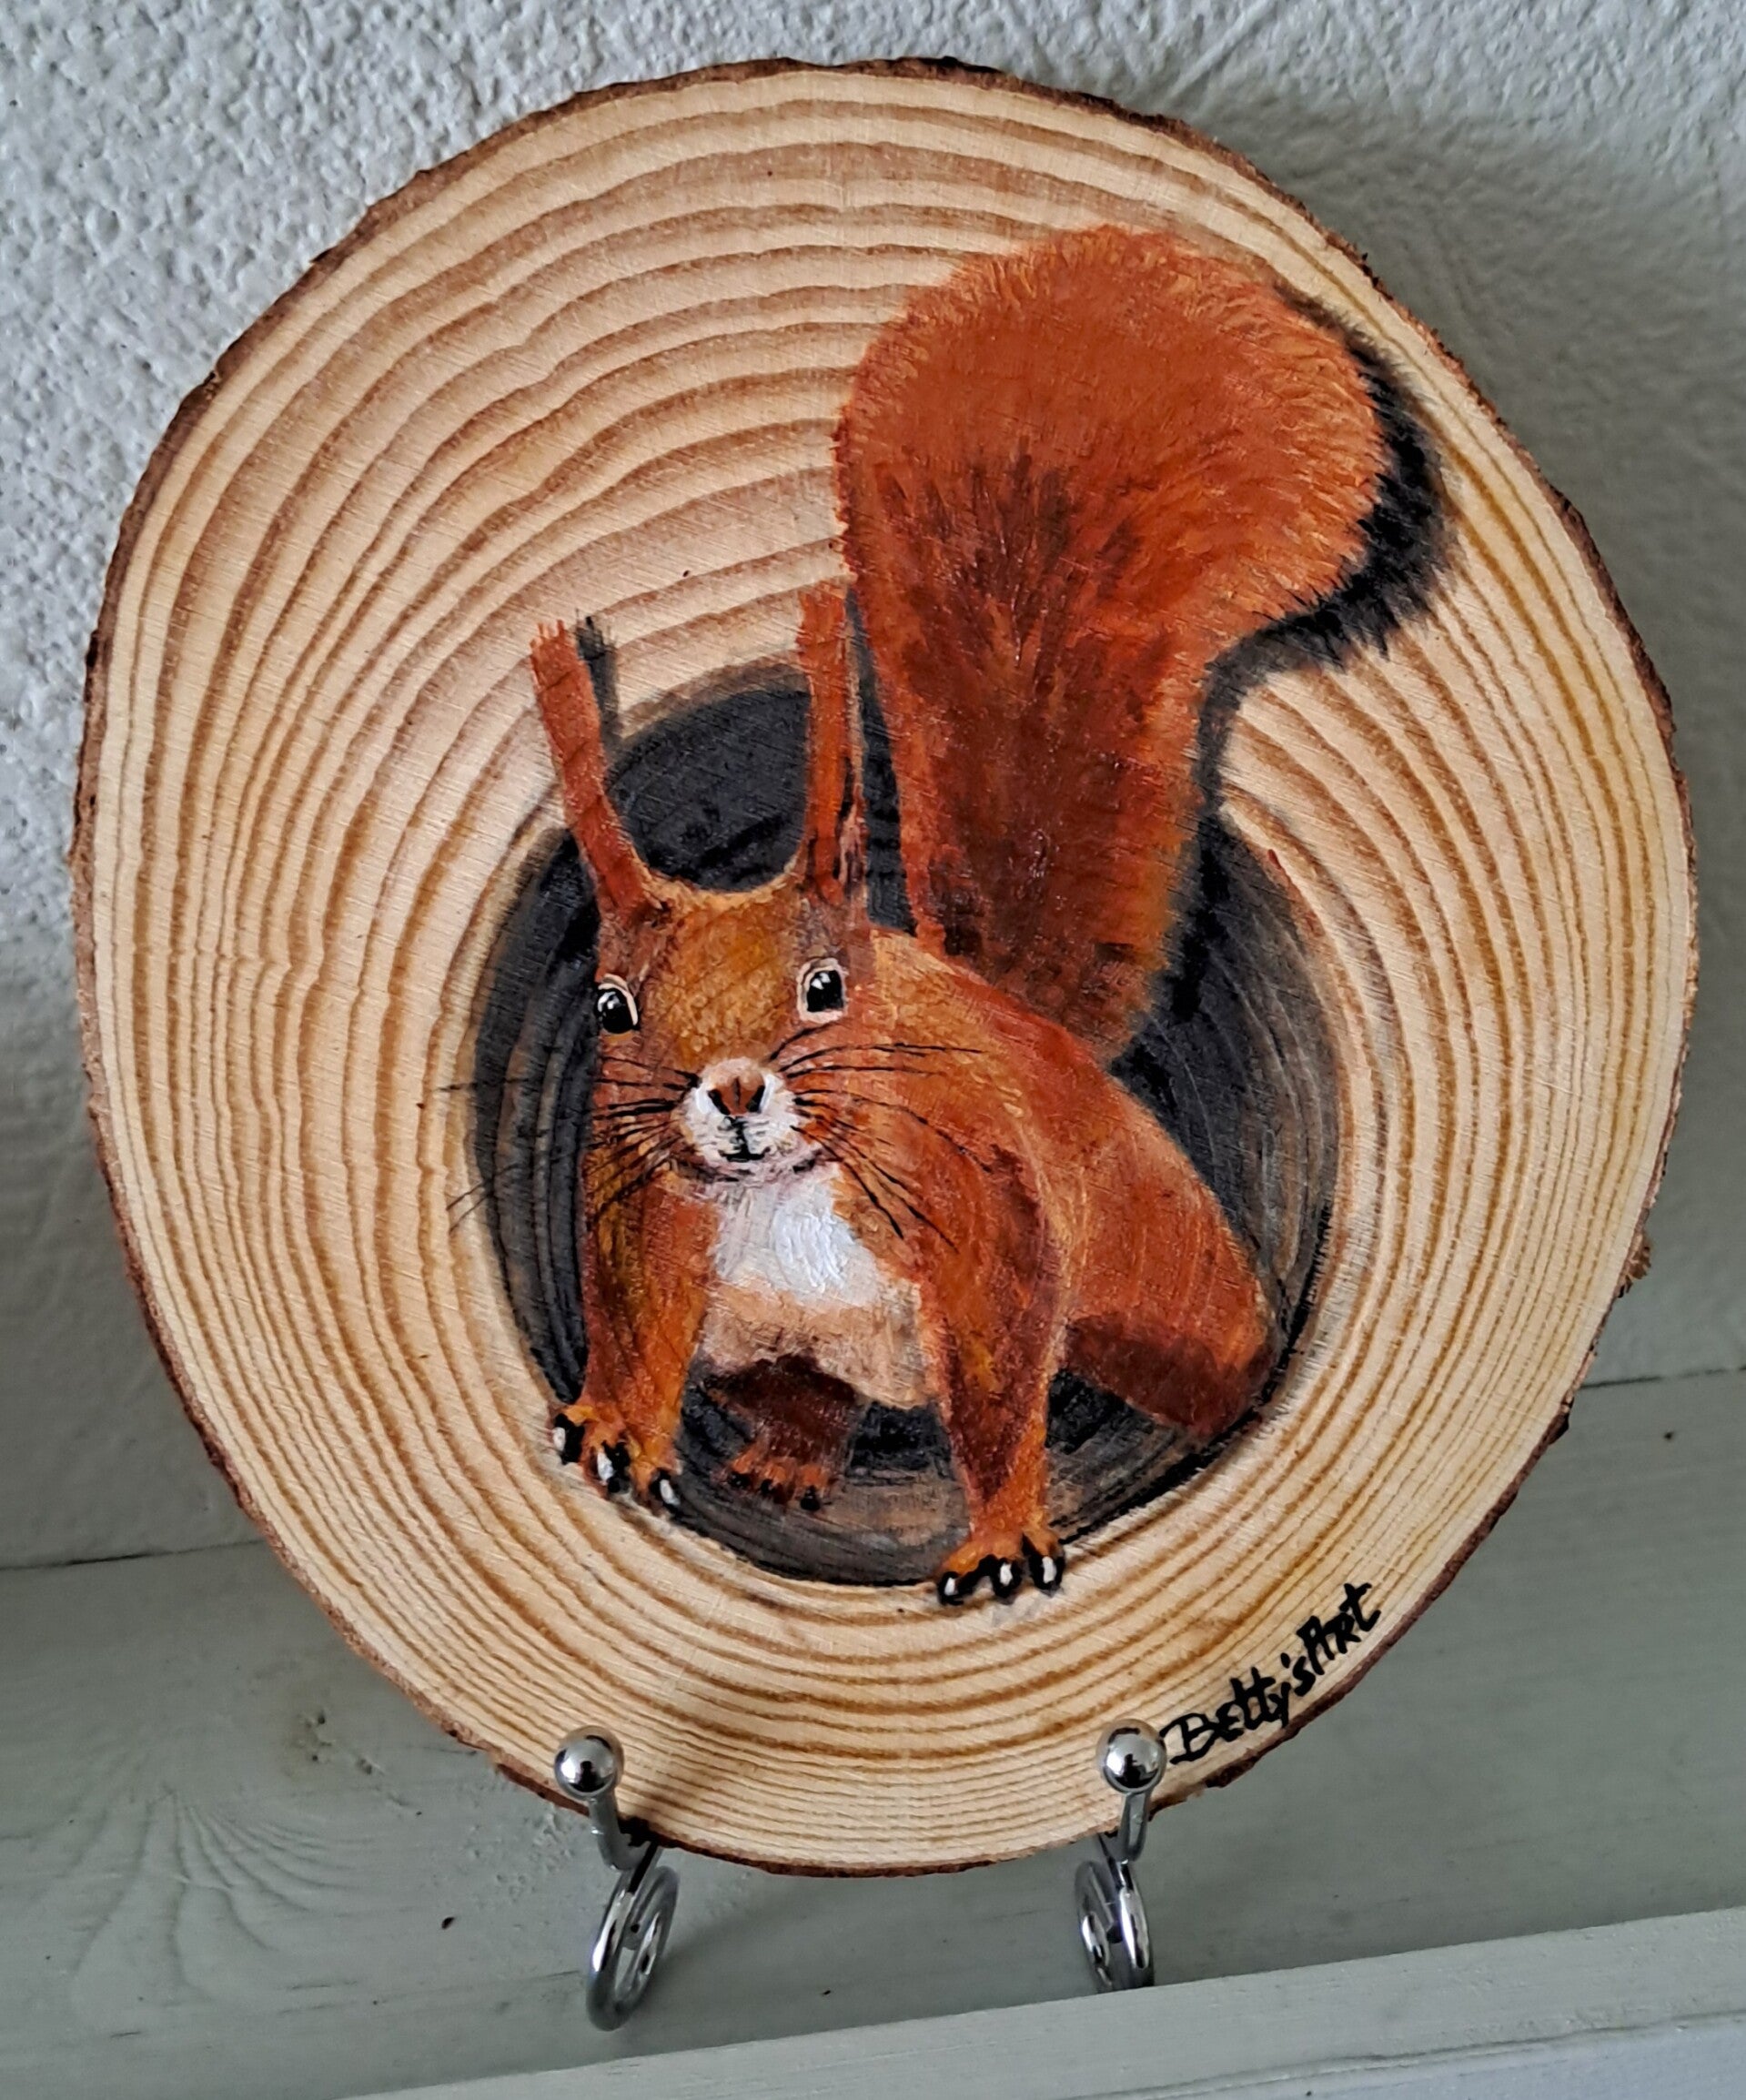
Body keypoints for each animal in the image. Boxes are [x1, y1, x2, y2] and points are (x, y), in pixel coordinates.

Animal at [526, 223, 1435, 1605]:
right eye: (611, 1005)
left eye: (826, 987)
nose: (729, 1091)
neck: (780, 1196)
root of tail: (1024, 1021)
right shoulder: (642, 1214)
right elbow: (633, 1333)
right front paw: (614, 1428)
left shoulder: (981, 1209)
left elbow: (1003, 1385)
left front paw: (1005, 1536)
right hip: (769, 1354)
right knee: (810, 1403)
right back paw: (785, 1462)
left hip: (1162, 1272)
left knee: (1198, 1352)